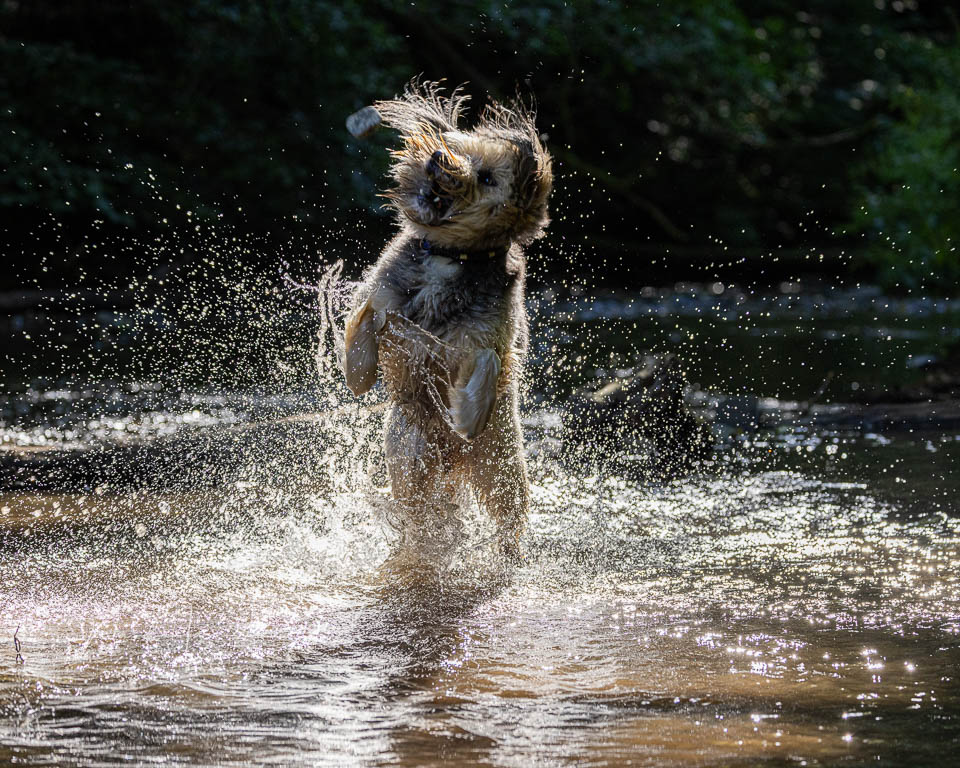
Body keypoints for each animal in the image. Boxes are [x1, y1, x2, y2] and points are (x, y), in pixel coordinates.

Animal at [344, 81, 556, 560]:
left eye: (488, 177)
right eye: (460, 148)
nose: (438, 158)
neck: (451, 256)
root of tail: (454, 465)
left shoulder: (491, 338)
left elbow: (491, 361)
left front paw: (470, 414)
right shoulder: (383, 300)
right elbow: (366, 322)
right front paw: (359, 364)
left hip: (501, 470)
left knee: (507, 520)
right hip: (409, 450)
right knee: (419, 508)